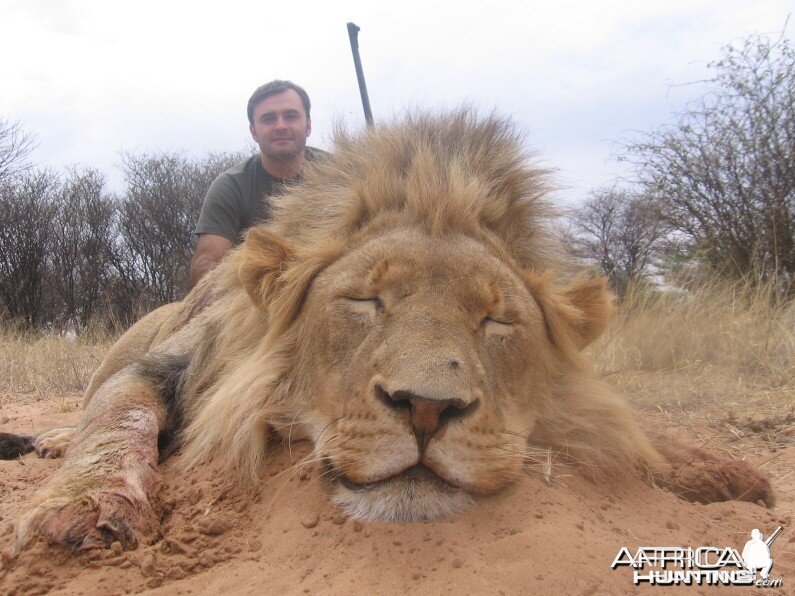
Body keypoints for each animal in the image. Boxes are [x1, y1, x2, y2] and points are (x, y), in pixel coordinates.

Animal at [6, 109, 776, 552]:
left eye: (495, 319)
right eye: (365, 301)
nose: (426, 409)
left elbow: (637, 430)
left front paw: (716, 469)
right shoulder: (172, 364)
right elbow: (117, 421)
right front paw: (81, 507)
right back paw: (50, 440)